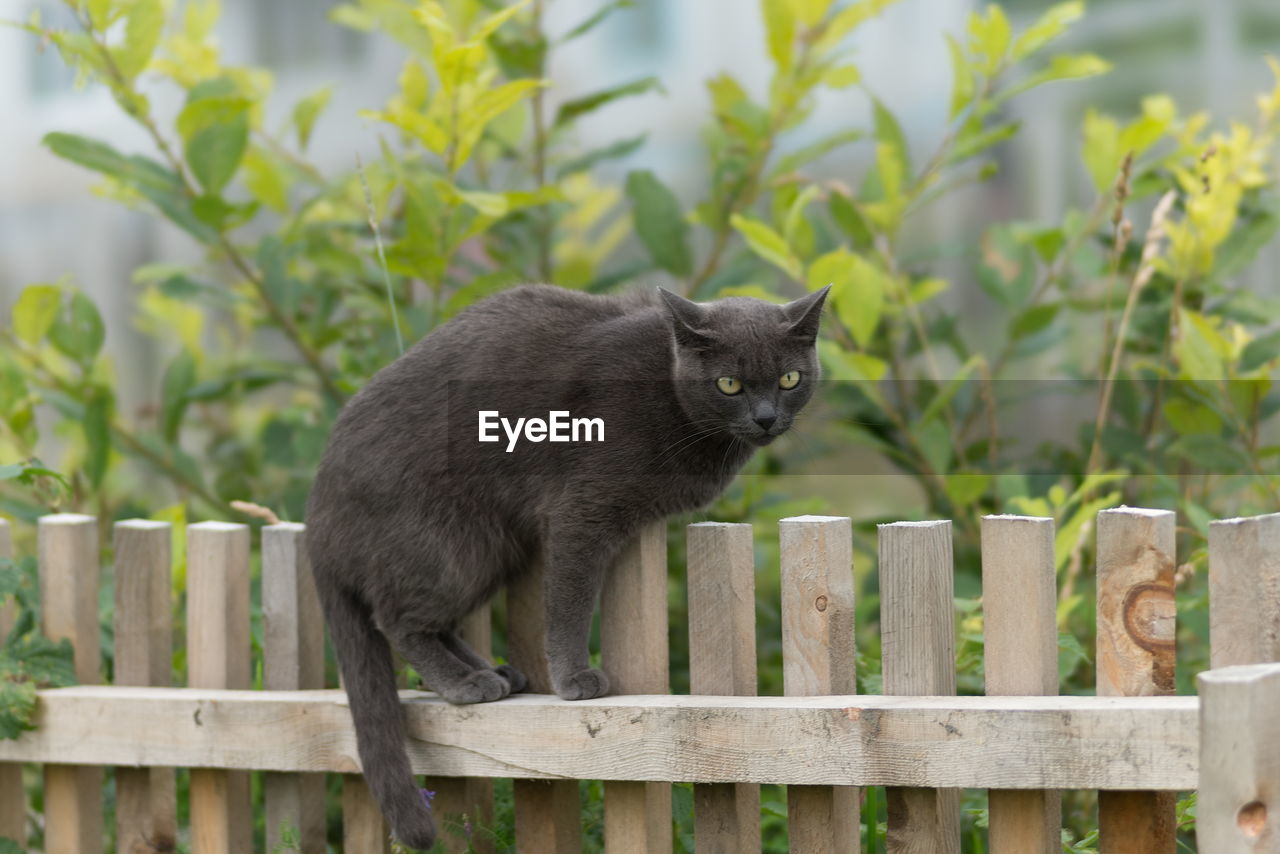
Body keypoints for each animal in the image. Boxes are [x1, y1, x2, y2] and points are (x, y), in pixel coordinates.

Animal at [305, 281, 834, 850]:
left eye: (789, 379)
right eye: (729, 384)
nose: (766, 418)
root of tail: (318, 518)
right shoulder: (581, 509)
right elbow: (570, 602)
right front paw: (574, 679)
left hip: (494, 549)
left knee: (433, 621)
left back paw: (494, 672)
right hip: (449, 544)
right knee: (397, 619)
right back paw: (466, 684)